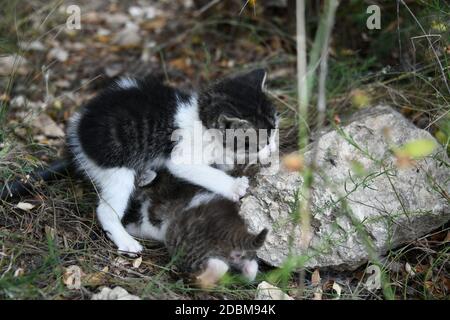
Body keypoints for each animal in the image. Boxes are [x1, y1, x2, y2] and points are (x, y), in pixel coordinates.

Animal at [67, 69, 278, 254]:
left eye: (275, 131)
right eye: (262, 143)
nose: (273, 149)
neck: (202, 122)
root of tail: (78, 129)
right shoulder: (181, 155)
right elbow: (202, 172)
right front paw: (234, 186)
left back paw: (146, 175)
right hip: (116, 165)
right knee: (106, 209)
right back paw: (126, 241)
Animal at [123, 170, 268, 284]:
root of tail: (232, 231)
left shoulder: (153, 220)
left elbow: (144, 227)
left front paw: (129, 228)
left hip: (187, 247)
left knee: (219, 266)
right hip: (244, 255)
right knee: (251, 267)